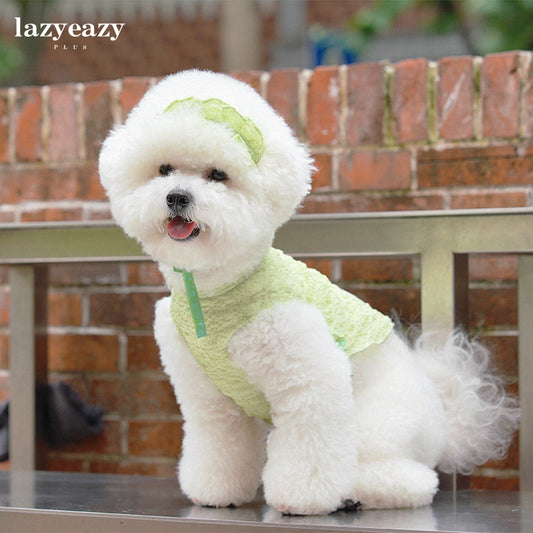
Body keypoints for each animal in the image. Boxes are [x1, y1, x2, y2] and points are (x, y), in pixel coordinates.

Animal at [97, 68, 516, 512]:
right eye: (164, 169)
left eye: (217, 175)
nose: (177, 196)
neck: (216, 290)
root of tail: (446, 419)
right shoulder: (209, 398)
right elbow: (221, 441)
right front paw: (217, 489)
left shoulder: (309, 374)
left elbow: (310, 444)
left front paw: (302, 497)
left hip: (376, 425)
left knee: (411, 480)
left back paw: (356, 491)